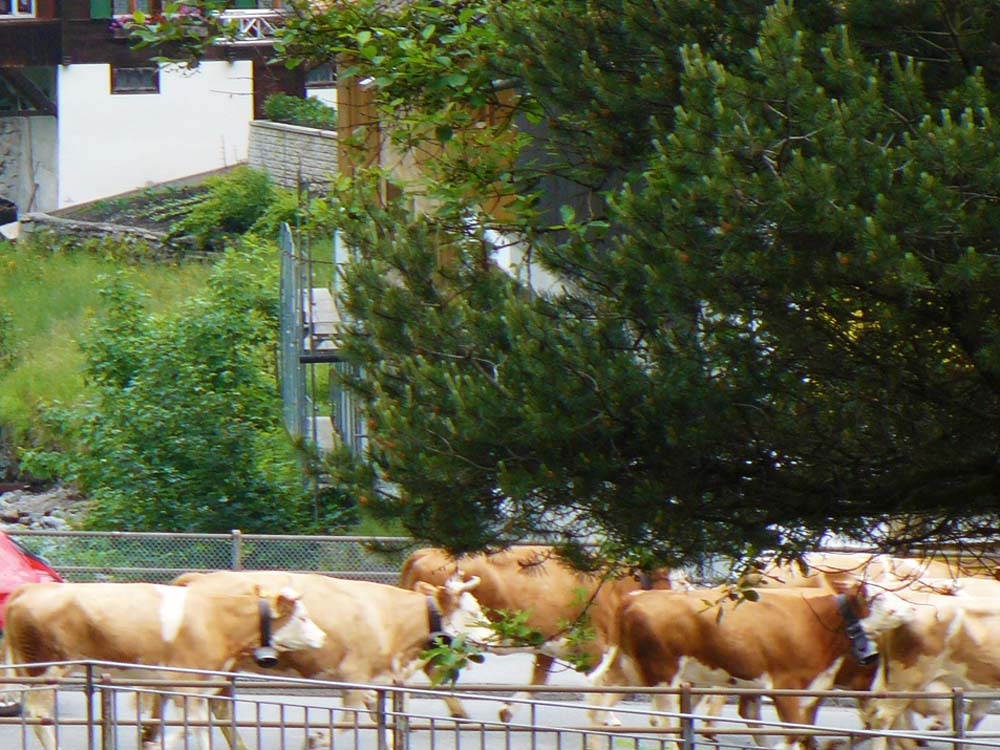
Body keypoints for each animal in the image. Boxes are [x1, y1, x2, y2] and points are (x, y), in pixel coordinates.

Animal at [1, 580, 324, 750]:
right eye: (303, 617)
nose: (322, 636)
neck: (217, 619)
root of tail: (31, 589)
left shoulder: (185, 686)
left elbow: (188, 727)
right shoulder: (187, 684)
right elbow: (189, 727)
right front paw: (159, 742)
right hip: (47, 668)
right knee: (39, 716)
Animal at [398, 548, 688, 724]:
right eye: (679, 581)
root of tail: (425, 551)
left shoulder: (550, 645)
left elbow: (538, 680)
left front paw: (507, 711)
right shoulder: (594, 644)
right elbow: (603, 680)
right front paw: (609, 718)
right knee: (431, 667)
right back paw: (457, 710)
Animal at [588, 588, 916, 750]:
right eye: (884, 603)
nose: (914, 607)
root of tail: (633, 598)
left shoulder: (809, 688)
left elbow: (792, 732)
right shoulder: (786, 684)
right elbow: (792, 733)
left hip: (628, 668)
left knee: (597, 702)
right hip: (663, 673)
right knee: (666, 724)